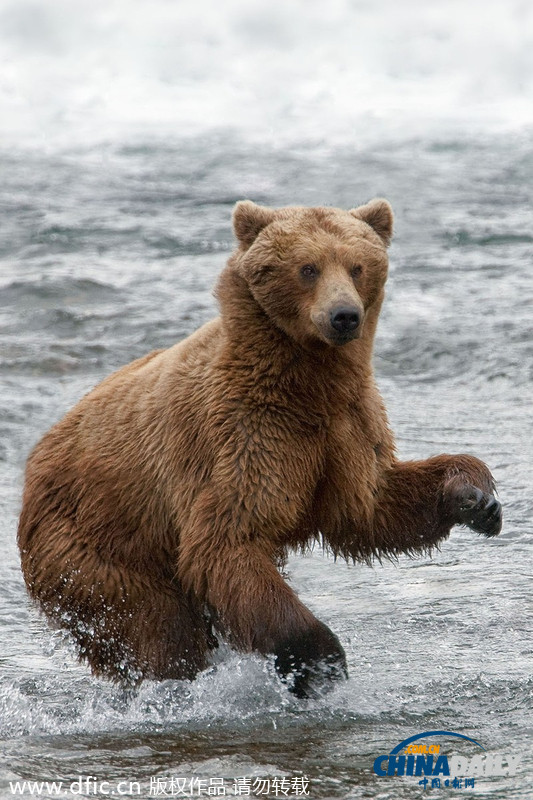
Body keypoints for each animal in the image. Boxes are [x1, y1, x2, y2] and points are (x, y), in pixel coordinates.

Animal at [15, 202, 498, 700]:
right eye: (308, 267)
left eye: (357, 266)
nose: (345, 315)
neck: (307, 382)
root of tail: (33, 464)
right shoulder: (244, 434)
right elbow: (230, 540)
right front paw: (320, 662)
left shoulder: (347, 425)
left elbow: (371, 505)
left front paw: (475, 497)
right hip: (92, 547)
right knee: (155, 629)